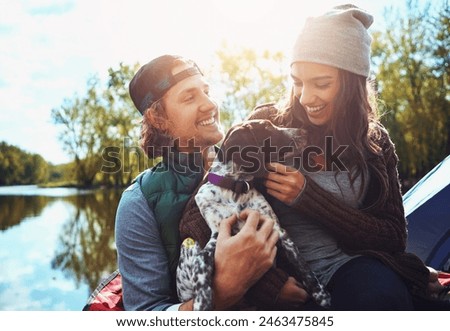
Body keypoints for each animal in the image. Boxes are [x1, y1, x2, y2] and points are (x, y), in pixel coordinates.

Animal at [176, 119, 330, 312]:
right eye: (268, 127)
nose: (304, 132)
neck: (235, 187)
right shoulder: (214, 242)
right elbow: (202, 275)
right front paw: (203, 304)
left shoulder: (279, 231)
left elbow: (302, 266)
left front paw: (321, 296)